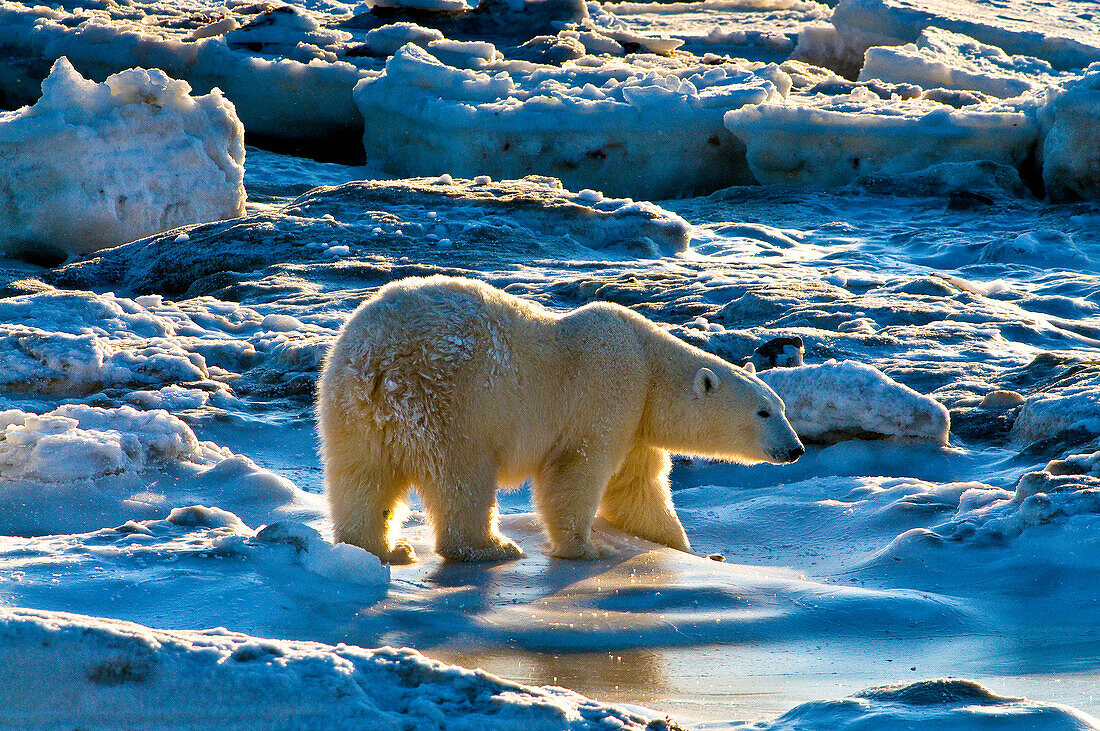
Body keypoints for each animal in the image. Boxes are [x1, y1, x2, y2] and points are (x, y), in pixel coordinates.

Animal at [314, 277, 805, 560]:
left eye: (782, 407)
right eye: (763, 411)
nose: (795, 449)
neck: (649, 363)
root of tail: (378, 364)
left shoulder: (636, 425)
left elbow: (637, 490)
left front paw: (685, 548)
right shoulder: (608, 391)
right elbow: (578, 472)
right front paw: (585, 549)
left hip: (349, 408)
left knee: (362, 477)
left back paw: (383, 548)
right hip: (450, 403)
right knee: (462, 476)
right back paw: (490, 547)